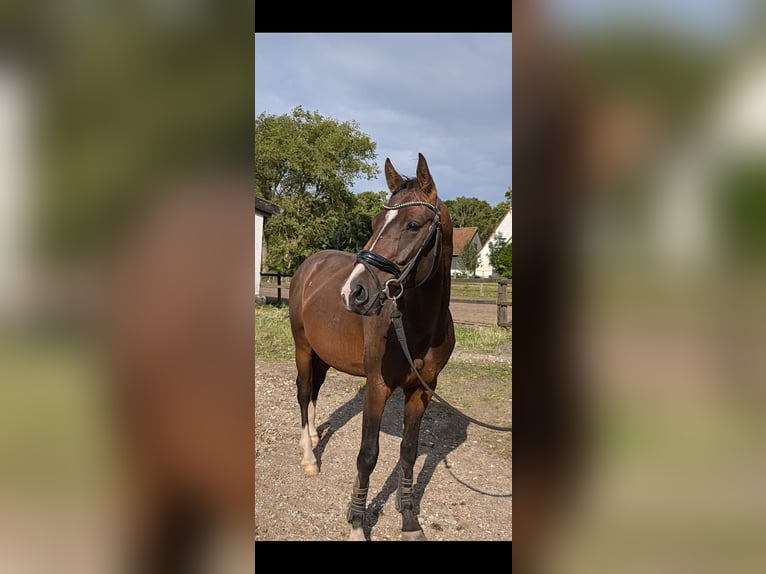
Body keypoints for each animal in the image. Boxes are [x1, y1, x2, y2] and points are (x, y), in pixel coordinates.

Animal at [288, 154, 456, 544]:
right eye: (376, 222)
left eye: (413, 224)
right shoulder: (377, 388)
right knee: (303, 392)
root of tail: (309, 265)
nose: (354, 292)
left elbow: (408, 452)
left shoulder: (422, 391)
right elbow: (367, 456)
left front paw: (409, 521)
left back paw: (316, 434)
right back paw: (309, 456)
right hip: (302, 347)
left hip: (323, 355)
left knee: (314, 390)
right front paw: (356, 525)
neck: (417, 328)